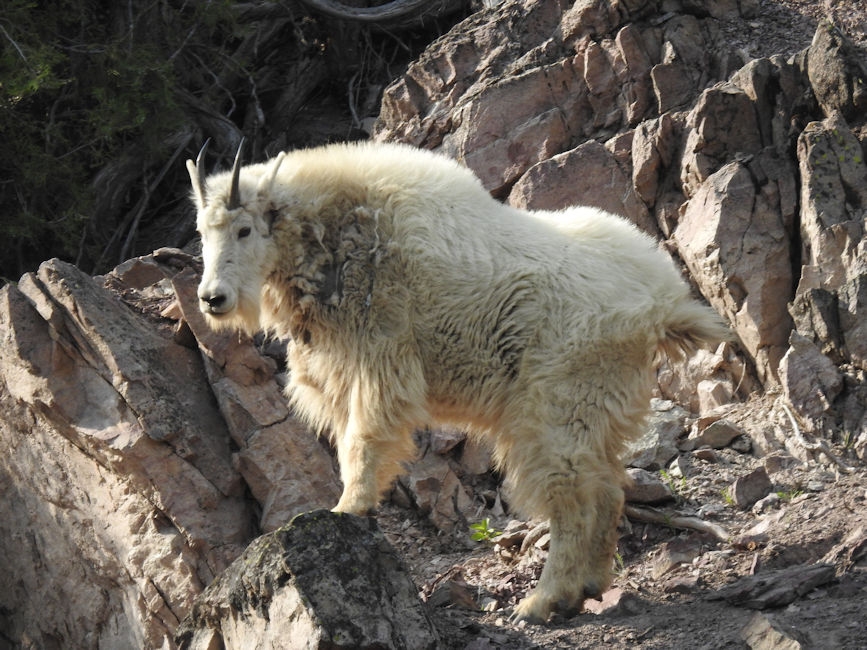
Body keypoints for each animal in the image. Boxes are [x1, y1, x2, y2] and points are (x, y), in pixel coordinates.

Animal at [187, 140, 729, 624]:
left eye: (244, 229)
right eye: (202, 233)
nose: (212, 298)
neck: (335, 231)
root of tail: (662, 307)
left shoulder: (381, 357)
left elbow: (363, 440)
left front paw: (347, 509)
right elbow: (345, 441)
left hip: (559, 402)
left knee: (574, 498)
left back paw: (544, 601)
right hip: (601, 404)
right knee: (608, 490)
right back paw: (590, 585)